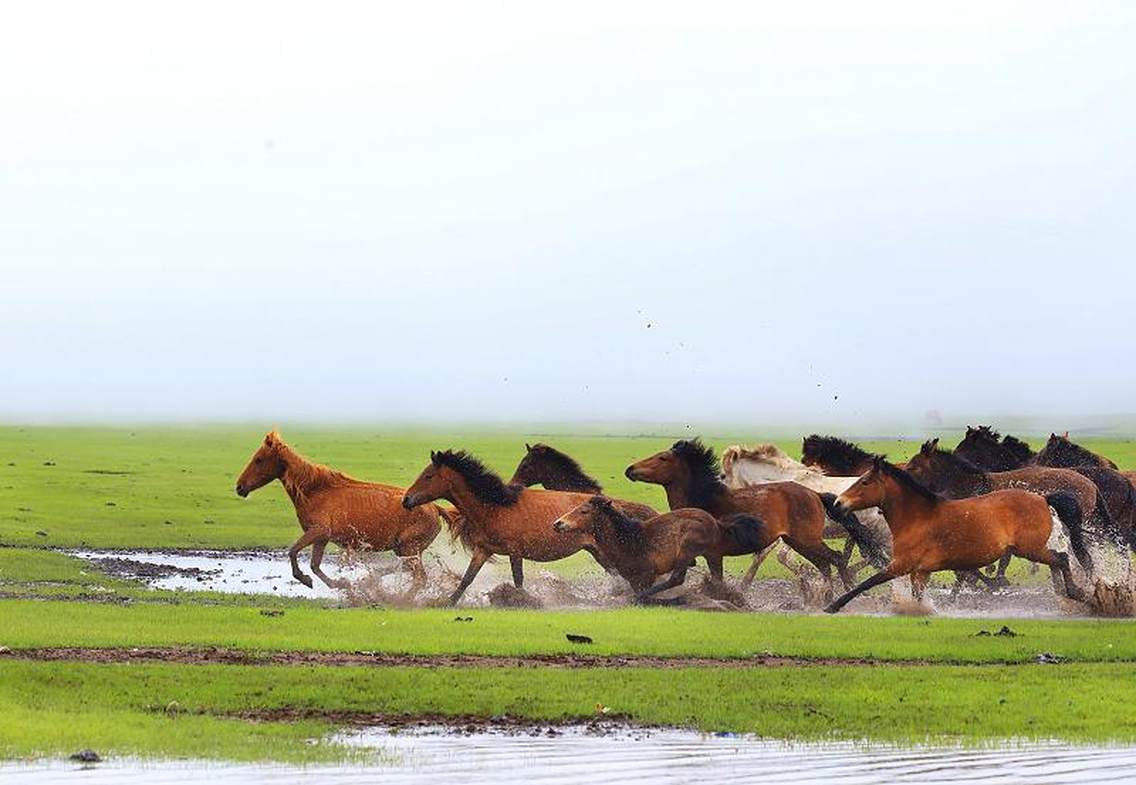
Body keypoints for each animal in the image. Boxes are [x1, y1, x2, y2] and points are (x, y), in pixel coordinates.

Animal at [234, 433, 443, 590]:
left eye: (259, 460)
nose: (239, 487)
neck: (314, 491)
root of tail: (436, 508)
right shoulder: (321, 538)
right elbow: (315, 565)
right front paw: (339, 584)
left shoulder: (319, 531)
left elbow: (293, 551)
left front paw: (305, 579)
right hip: (404, 549)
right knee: (408, 570)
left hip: (409, 547)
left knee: (419, 578)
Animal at [552, 497, 763, 599]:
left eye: (584, 511)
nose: (558, 523)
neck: (628, 541)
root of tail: (717, 524)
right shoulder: (633, 579)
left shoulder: (645, 576)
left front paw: (639, 598)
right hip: (713, 555)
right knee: (717, 578)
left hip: (688, 547)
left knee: (677, 578)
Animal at [622, 436, 886, 595]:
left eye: (662, 458)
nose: (630, 469)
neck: (706, 501)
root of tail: (815, 494)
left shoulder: (716, 552)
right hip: (801, 541)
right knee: (831, 562)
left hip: (809, 539)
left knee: (838, 559)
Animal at [827, 456, 1090, 618]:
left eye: (865, 481)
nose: (838, 503)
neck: (917, 518)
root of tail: (1043, 499)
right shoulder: (920, 571)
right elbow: (917, 595)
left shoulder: (900, 564)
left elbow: (868, 582)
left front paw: (833, 605)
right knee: (1060, 560)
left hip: (1031, 549)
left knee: (1062, 558)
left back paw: (1076, 592)